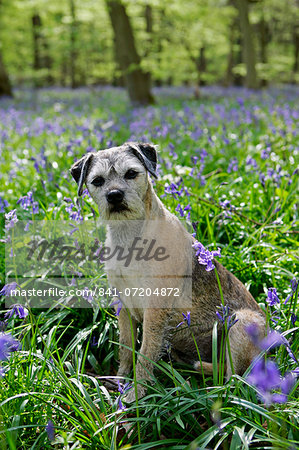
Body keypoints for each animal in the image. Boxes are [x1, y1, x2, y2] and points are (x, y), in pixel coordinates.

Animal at [71, 143, 268, 400]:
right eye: (97, 181)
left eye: (131, 174)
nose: (114, 195)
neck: (129, 235)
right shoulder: (122, 304)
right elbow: (126, 346)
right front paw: (121, 379)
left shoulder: (155, 308)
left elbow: (146, 351)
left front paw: (135, 394)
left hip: (241, 324)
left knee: (233, 378)